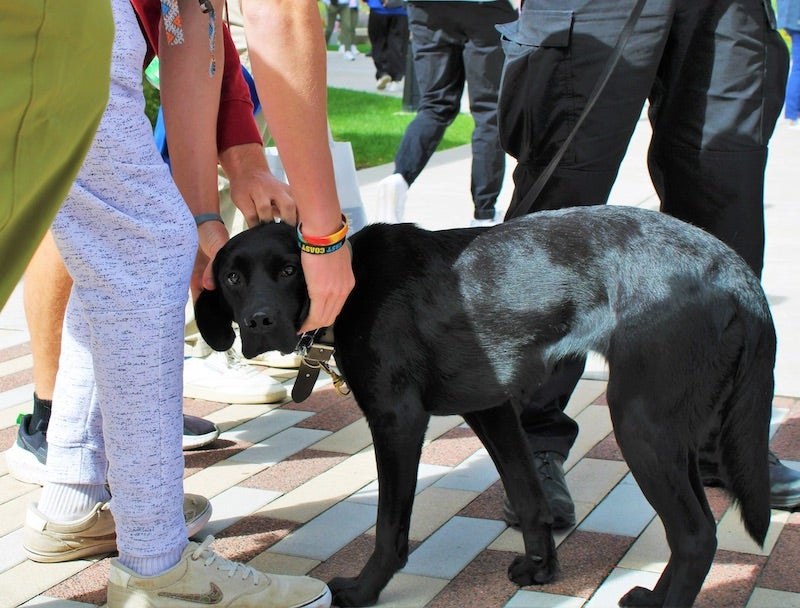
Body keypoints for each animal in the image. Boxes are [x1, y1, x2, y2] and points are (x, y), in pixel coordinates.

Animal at [194, 207, 776, 604]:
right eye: (232, 277)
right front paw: (541, 570)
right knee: (697, 528)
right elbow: (528, 494)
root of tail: (737, 272)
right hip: (671, 428)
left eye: (289, 271)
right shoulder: (490, 407)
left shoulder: (397, 420)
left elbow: (389, 526)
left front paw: (363, 589)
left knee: (696, 535)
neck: (354, 286)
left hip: (640, 420)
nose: (260, 322)